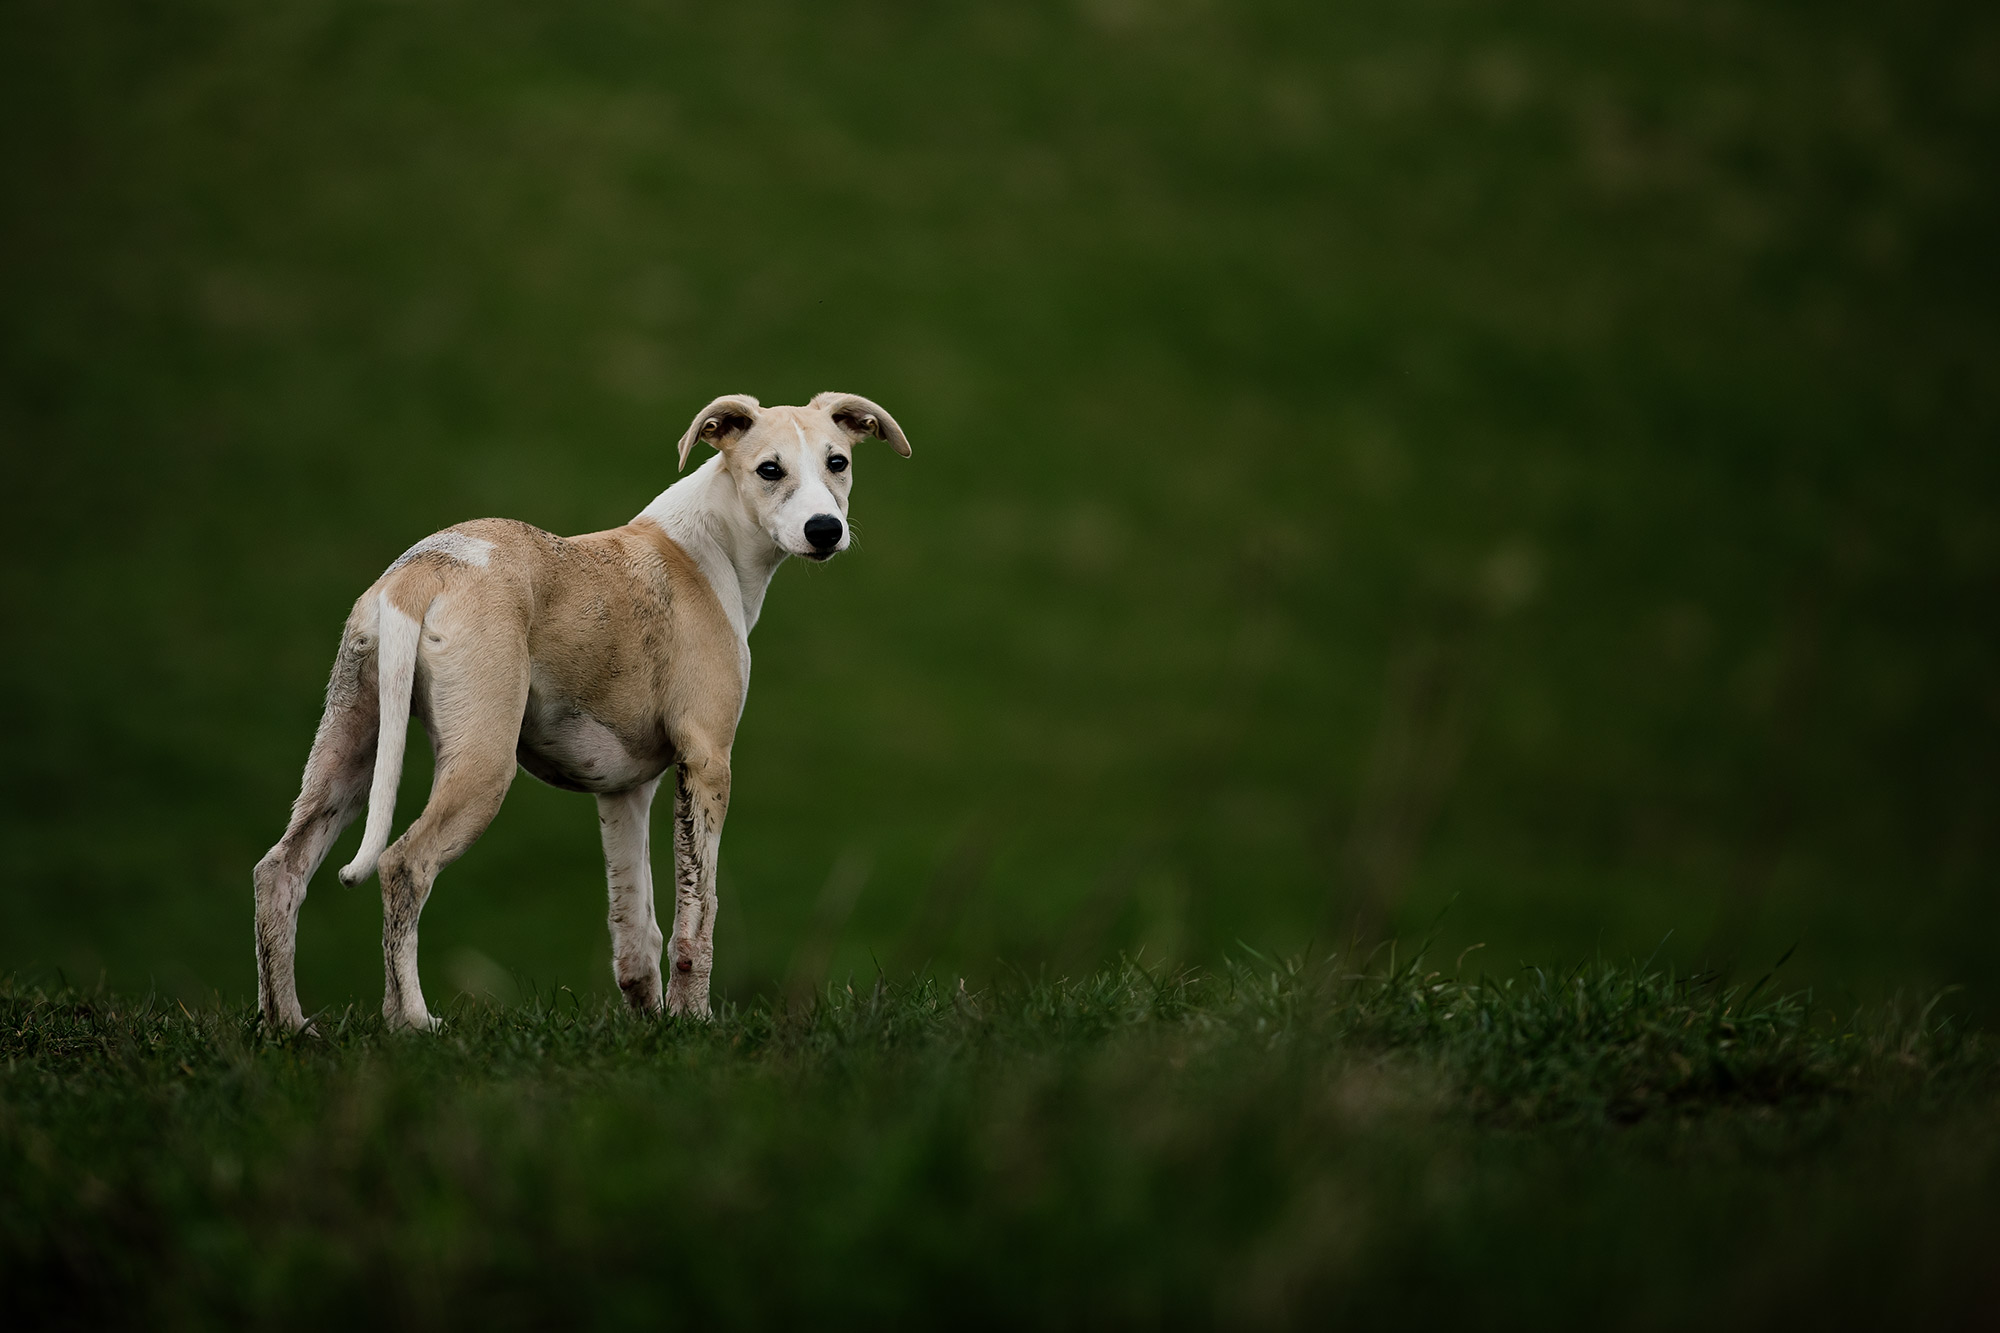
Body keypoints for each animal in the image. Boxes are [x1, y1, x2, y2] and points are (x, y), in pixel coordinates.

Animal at [250, 390, 916, 1020]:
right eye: (769, 470)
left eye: (838, 462)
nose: (825, 530)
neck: (710, 542)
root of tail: (424, 571)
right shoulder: (706, 761)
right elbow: (698, 917)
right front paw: (695, 1022)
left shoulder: (625, 792)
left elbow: (636, 932)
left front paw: (654, 1025)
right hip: (481, 766)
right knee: (402, 865)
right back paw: (410, 1020)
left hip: (347, 750)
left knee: (279, 871)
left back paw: (289, 1026)